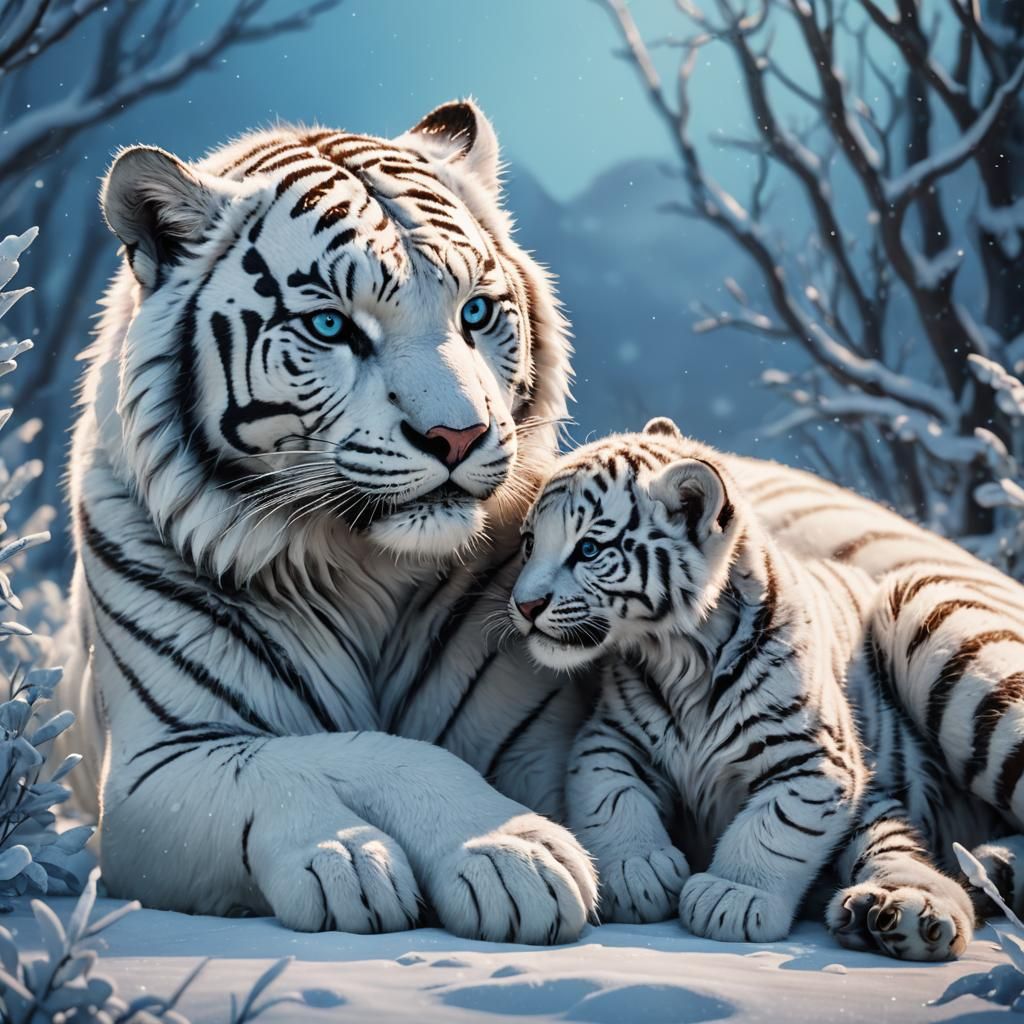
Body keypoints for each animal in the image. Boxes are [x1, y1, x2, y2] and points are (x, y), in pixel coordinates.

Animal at [59, 99, 600, 942]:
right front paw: (356, 859)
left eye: (476, 313)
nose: (459, 435)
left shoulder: (542, 739)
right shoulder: (159, 768)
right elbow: (337, 751)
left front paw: (508, 854)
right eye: (330, 328)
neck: (364, 569)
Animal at [508, 417, 1024, 960]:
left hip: (939, 631)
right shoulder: (609, 738)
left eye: (588, 549)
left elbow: (775, 825)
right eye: (529, 543)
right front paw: (638, 871)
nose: (524, 605)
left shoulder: (814, 758)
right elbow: (610, 794)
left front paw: (734, 896)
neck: (680, 655)